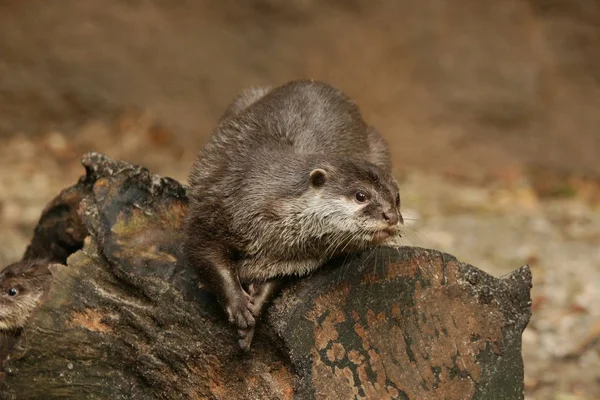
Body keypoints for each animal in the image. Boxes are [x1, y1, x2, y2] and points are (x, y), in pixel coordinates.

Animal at [185, 79, 406, 350]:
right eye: (361, 195)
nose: (391, 216)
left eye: (397, 198)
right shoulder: (211, 208)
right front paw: (238, 305)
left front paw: (254, 309)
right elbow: (206, 256)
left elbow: (274, 280)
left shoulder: (290, 260)